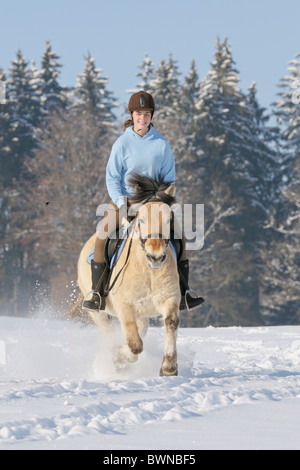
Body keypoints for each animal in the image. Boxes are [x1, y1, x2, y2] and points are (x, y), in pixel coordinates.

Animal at [74, 173, 180, 374]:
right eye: (142, 220)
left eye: (169, 220)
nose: (156, 257)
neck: (147, 271)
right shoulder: (125, 307)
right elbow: (135, 344)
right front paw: (119, 356)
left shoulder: (168, 299)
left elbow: (170, 322)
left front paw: (169, 366)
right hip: (97, 310)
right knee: (108, 331)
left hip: (143, 313)